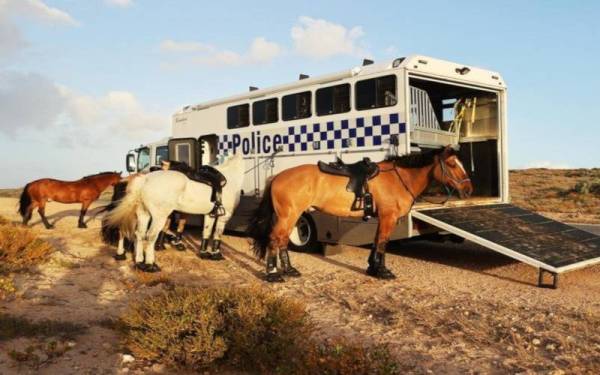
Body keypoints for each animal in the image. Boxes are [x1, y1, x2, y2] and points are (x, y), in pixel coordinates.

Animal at [104, 153, 245, 274]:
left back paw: (139, 262)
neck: (230, 178)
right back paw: (150, 265)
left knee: (138, 234)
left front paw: (204, 253)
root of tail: (145, 179)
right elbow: (217, 235)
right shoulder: (224, 217)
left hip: (143, 214)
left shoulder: (209, 215)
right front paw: (216, 254)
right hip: (158, 217)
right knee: (149, 237)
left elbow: (207, 232)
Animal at [248, 146, 474, 282]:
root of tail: (277, 177)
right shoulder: (388, 217)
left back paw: (289, 270)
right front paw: (383, 272)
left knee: (282, 241)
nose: (468, 189)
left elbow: (376, 242)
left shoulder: (381, 218)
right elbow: (382, 243)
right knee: (275, 239)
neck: (397, 178)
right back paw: (273, 275)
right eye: (452, 164)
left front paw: (372, 268)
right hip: (288, 216)